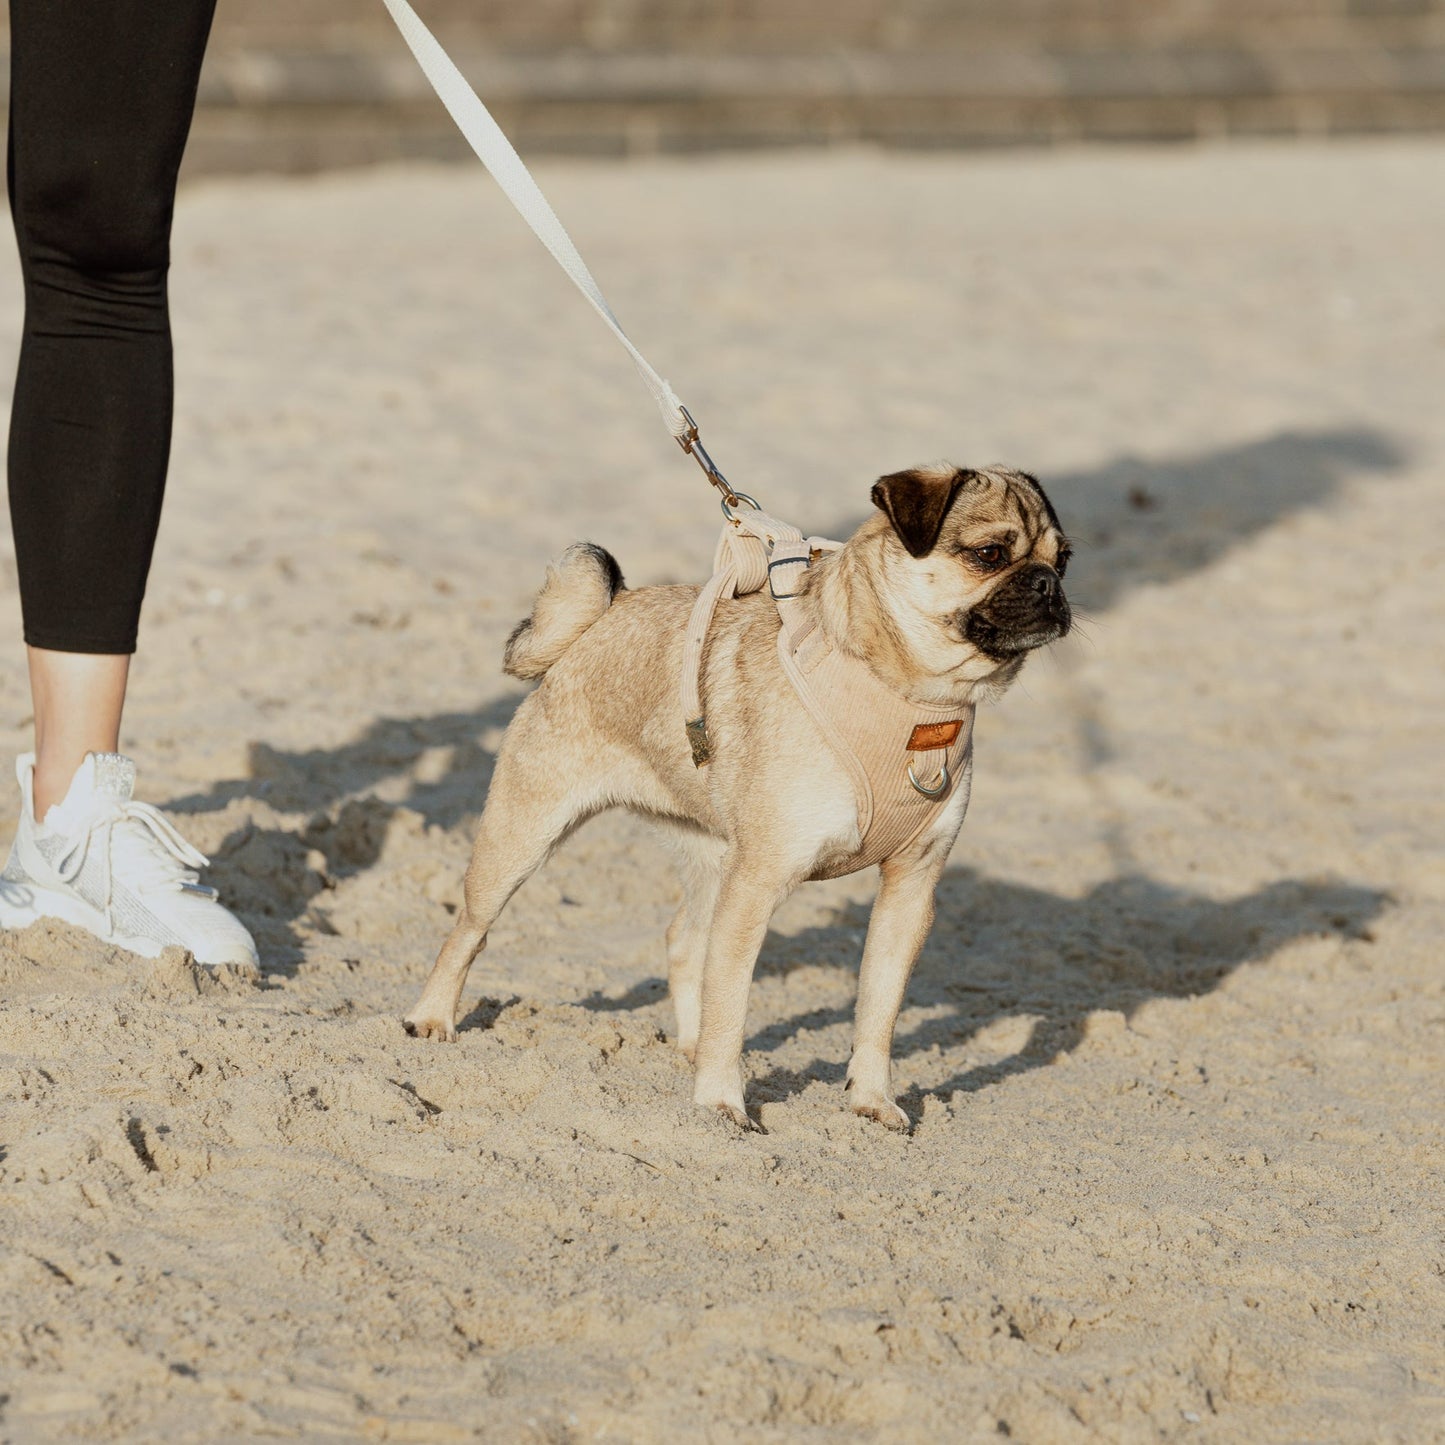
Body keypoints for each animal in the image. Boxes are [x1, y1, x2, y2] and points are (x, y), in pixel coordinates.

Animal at [401, 465, 1069, 1127]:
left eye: (1064, 559)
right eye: (989, 554)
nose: (1048, 585)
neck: (915, 699)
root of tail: (601, 618)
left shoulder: (909, 891)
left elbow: (879, 1010)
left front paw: (872, 1101)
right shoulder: (758, 883)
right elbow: (733, 1004)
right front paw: (721, 1101)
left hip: (713, 857)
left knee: (684, 942)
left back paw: (690, 1046)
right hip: (524, 835)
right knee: (471, 929)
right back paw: (432, 1018)